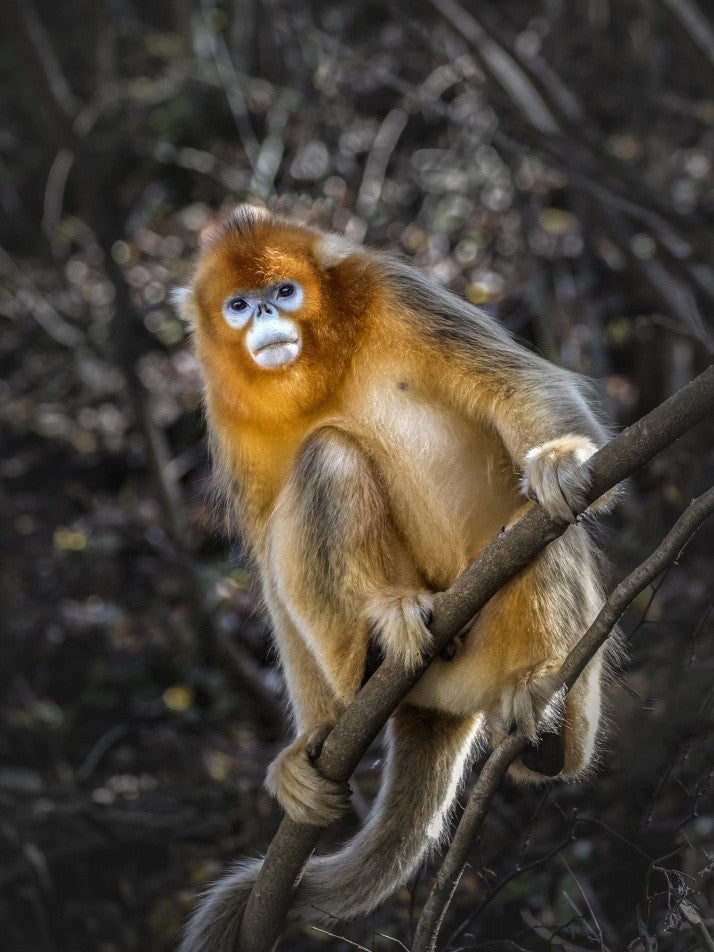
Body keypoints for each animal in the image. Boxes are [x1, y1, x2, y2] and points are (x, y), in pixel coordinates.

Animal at [173, 205, 615, 951]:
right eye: (237, 305)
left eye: (284, 291)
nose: (264, 314)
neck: (323, 366)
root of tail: (434, 706)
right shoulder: (224, 403)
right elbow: (267, 568)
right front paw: (304, 745)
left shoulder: (397, 290)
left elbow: (521, 384)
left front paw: (558, 458)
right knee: (325, 459)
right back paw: (384, 637)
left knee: (533, 528)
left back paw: (547, 703)